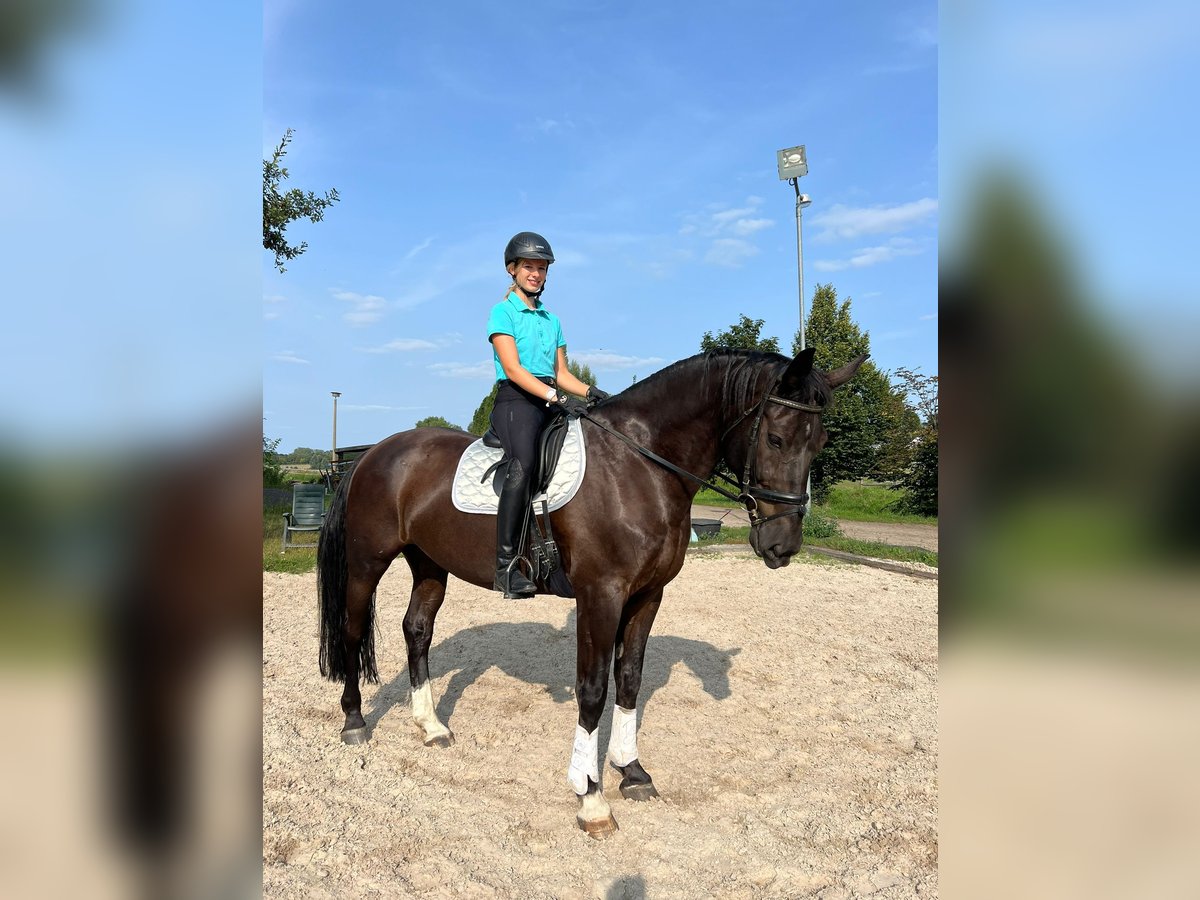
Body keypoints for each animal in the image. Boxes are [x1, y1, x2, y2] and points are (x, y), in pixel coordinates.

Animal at [316, 348, 864, 840]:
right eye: (775, 437)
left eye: (821, 442)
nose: (782, 546)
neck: (639, 466)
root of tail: (375, 453)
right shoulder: (600, 595)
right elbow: (594, 689)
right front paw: (591, 798)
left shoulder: (648, 595)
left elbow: (630, 679)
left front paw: (632, 771)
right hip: (367, 564)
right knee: (353, 629)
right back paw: (354, 721)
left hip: (429, 564)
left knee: (417, 630)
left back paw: (430, 726)